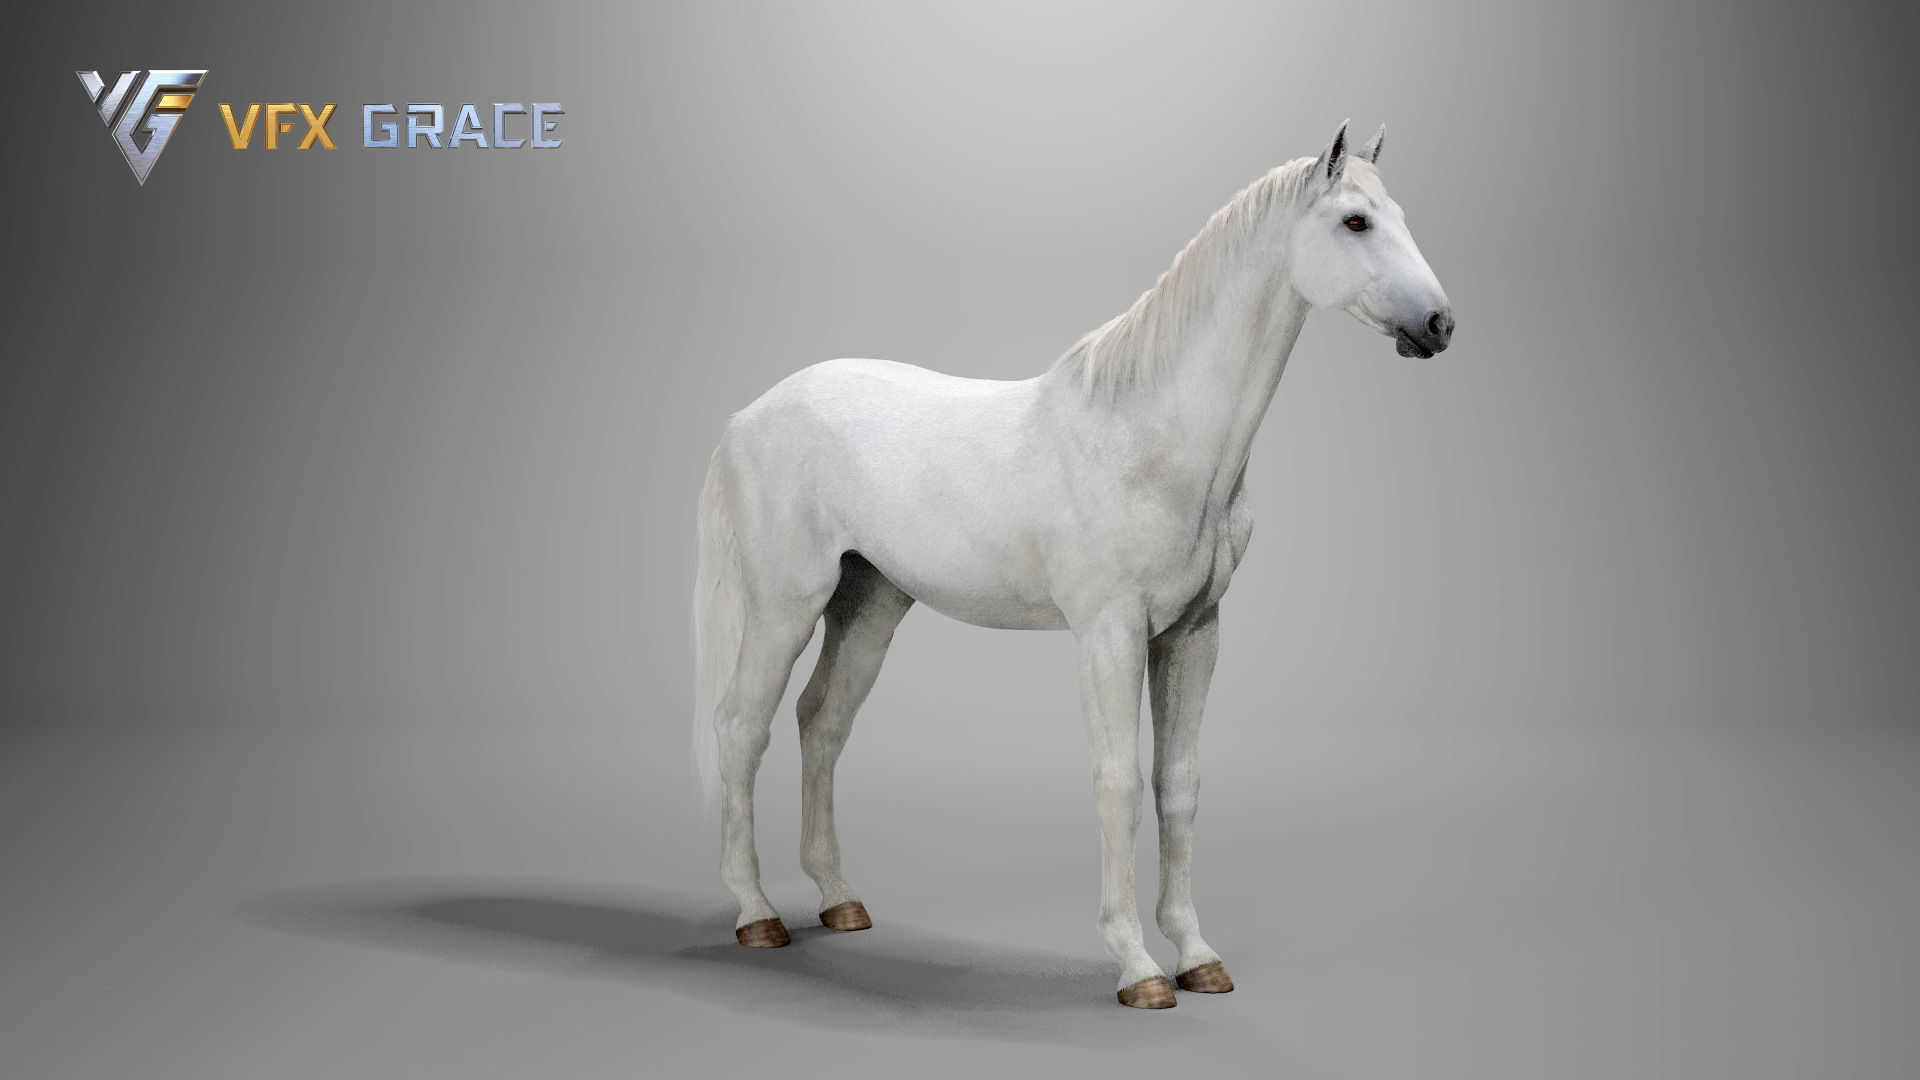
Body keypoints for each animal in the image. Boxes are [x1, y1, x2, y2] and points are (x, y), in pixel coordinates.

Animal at [691, 121, 1454, 1008]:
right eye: (1356, 221)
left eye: (1398, 215)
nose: (1440, 323)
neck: (1150, 436)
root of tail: (750, 414)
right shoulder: (1109, 633)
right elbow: (1118, 782)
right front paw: (1138, 968)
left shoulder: (1195, 632)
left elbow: (1178, 785)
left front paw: (1197, 955)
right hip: (784, 604)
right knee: (741, 729)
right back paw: (756, 913)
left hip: (870, 603)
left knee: (823, 724)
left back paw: (840, 901)